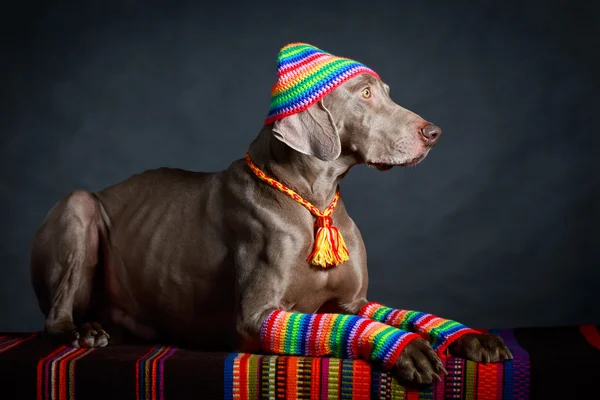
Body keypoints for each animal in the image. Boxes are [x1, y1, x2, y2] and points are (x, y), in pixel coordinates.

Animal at [30, 43, 510, 384]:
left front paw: (470, 336)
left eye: (387, 92)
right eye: (366, 93)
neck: (312, 200)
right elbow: (335, 325)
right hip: (78, 205)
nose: (434, 132)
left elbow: (400, 314)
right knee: (53, 317)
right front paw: (409, 349)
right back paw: (83, 331)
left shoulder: (355, 301)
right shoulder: (257, 316)